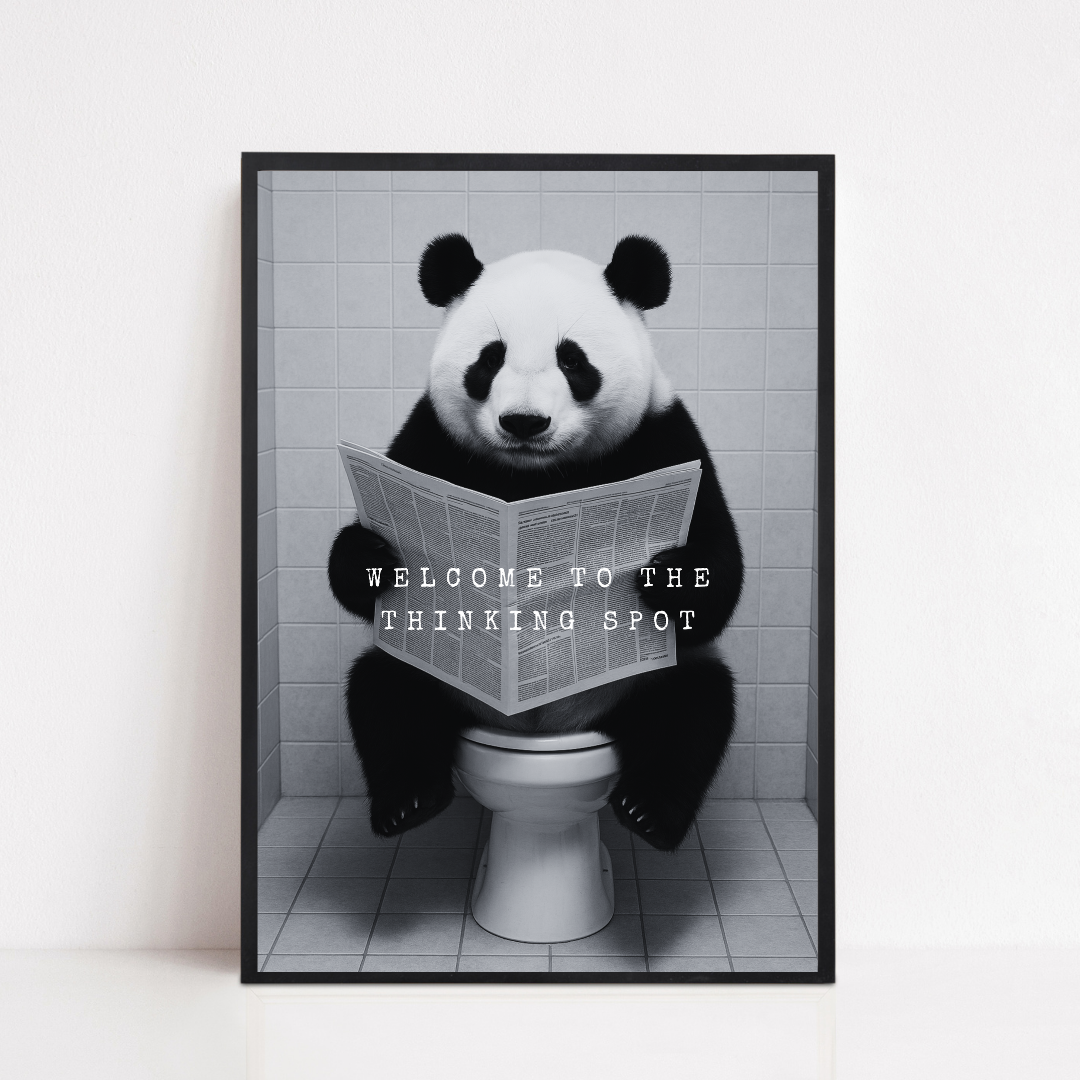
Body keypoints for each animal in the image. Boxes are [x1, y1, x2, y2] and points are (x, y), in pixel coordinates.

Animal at [328, 233, 744, 851]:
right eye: (489, 358)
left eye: (572, 359)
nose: (524, 422)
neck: (536, 475)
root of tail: (539, 726)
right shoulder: (432, 439)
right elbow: (362, 577)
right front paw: (374, 558)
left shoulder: (665, 437)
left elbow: (718, 574)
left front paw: (663, 574)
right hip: (441, 677)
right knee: (387, 694)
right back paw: (408, 801)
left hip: (639, 684)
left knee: (691, 711)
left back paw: (650, 814)